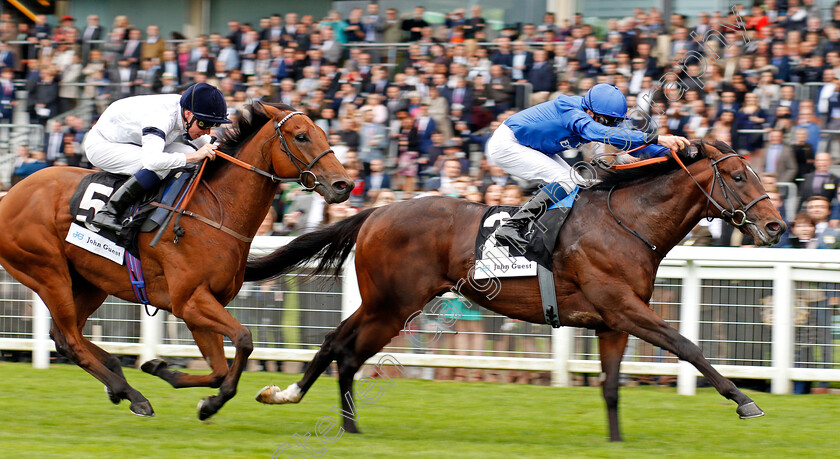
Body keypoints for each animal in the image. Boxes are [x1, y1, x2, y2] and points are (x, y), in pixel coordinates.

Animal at [0, 100, 352, 420]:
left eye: (324, 133)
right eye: (301, 136)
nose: (343, 184)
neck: (215, 211)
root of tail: (10, 195)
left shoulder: (201, 305)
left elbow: (219, 368)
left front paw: (162, 369)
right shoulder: (191, 301)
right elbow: (244, 339)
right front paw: (212, 403)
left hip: (90, 282)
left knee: (64, 335)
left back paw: (116, 377)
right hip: (49, 273)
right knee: (70, 340)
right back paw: (133, 395)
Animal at [246, 139, 784, 442]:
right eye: (739, 176)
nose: (777, 225)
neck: (628, 223)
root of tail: (377, 210)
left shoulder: (613, 321)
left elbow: (611, 385)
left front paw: (615, 441)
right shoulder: (624, 307)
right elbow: (686, 345)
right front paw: (743, 400)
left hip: (389, 305)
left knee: (342, 347)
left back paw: (332, 416)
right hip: (391, 304)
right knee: (342, 347)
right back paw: (307, 404)